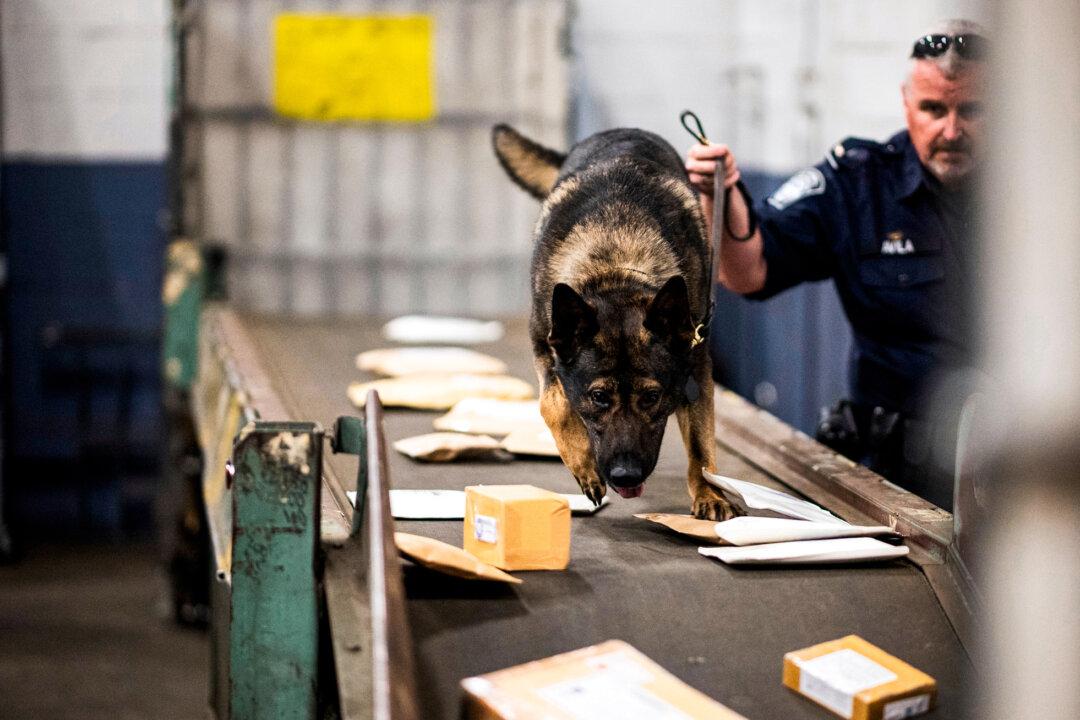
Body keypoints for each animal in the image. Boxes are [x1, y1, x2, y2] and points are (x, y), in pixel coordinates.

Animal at [494, 122, 738, 518]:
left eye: (652, 397)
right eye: (598, 397)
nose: (626, 475)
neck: (615, 267)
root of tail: (624, 130)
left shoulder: (698, 363)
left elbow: (701, 446)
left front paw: (710, 494)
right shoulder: (544, 347)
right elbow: (554, 405)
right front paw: (585, 468)